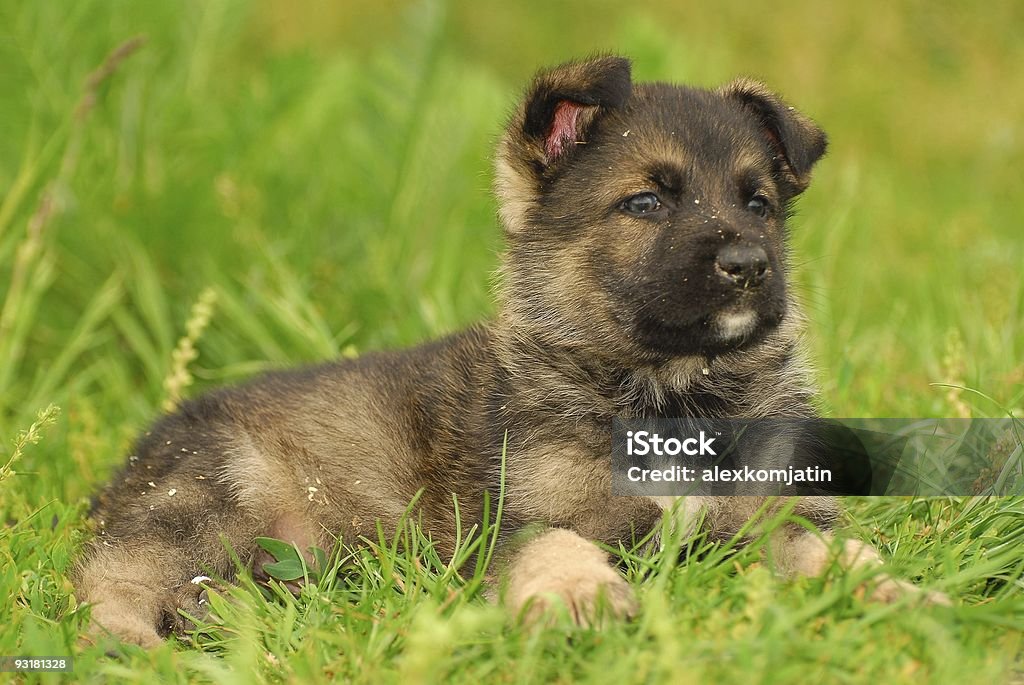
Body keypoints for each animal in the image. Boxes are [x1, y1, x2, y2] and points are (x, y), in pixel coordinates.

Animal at [75, 54, 946, 647]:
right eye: (645, 202)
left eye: (757, 202)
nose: (748, 265)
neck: (667, 392)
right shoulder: (509, 521)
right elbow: (557, 542)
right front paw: (583, 597)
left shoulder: (781, 513)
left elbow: (839, 551)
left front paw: (901, 596)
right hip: (216, 491)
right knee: (104, 574)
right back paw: (125, 640)